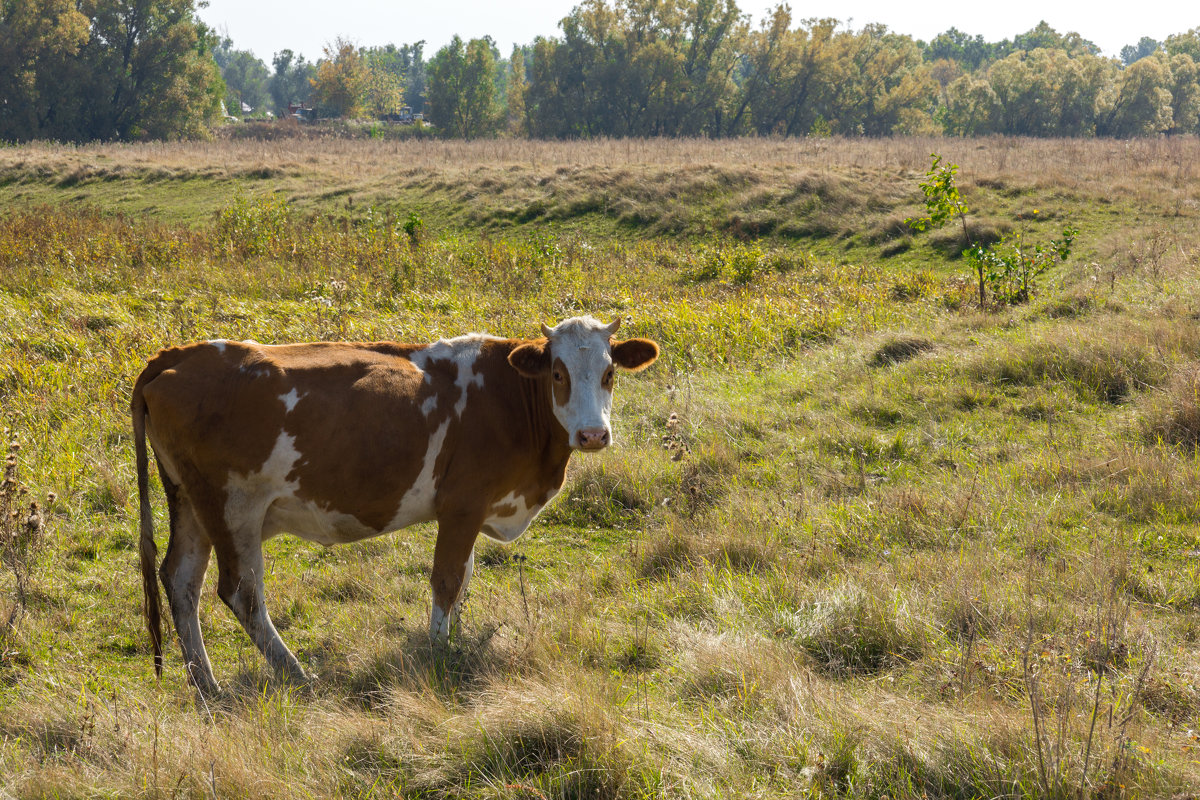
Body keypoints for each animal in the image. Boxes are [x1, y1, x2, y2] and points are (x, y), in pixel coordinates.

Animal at [132, 314, 662, 695]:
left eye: (609, 373)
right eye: (557, 373)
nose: (593, 434)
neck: (508, 397)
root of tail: (180, 354)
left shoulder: (470, 513)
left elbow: (464, 578)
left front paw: (456, 640)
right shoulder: (463, 506)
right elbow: (446, 581)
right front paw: (439, 653)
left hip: (191, 505)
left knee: (181, 581)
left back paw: (206, 684)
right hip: (233, 507)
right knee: (241, 592)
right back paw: (297, 673)